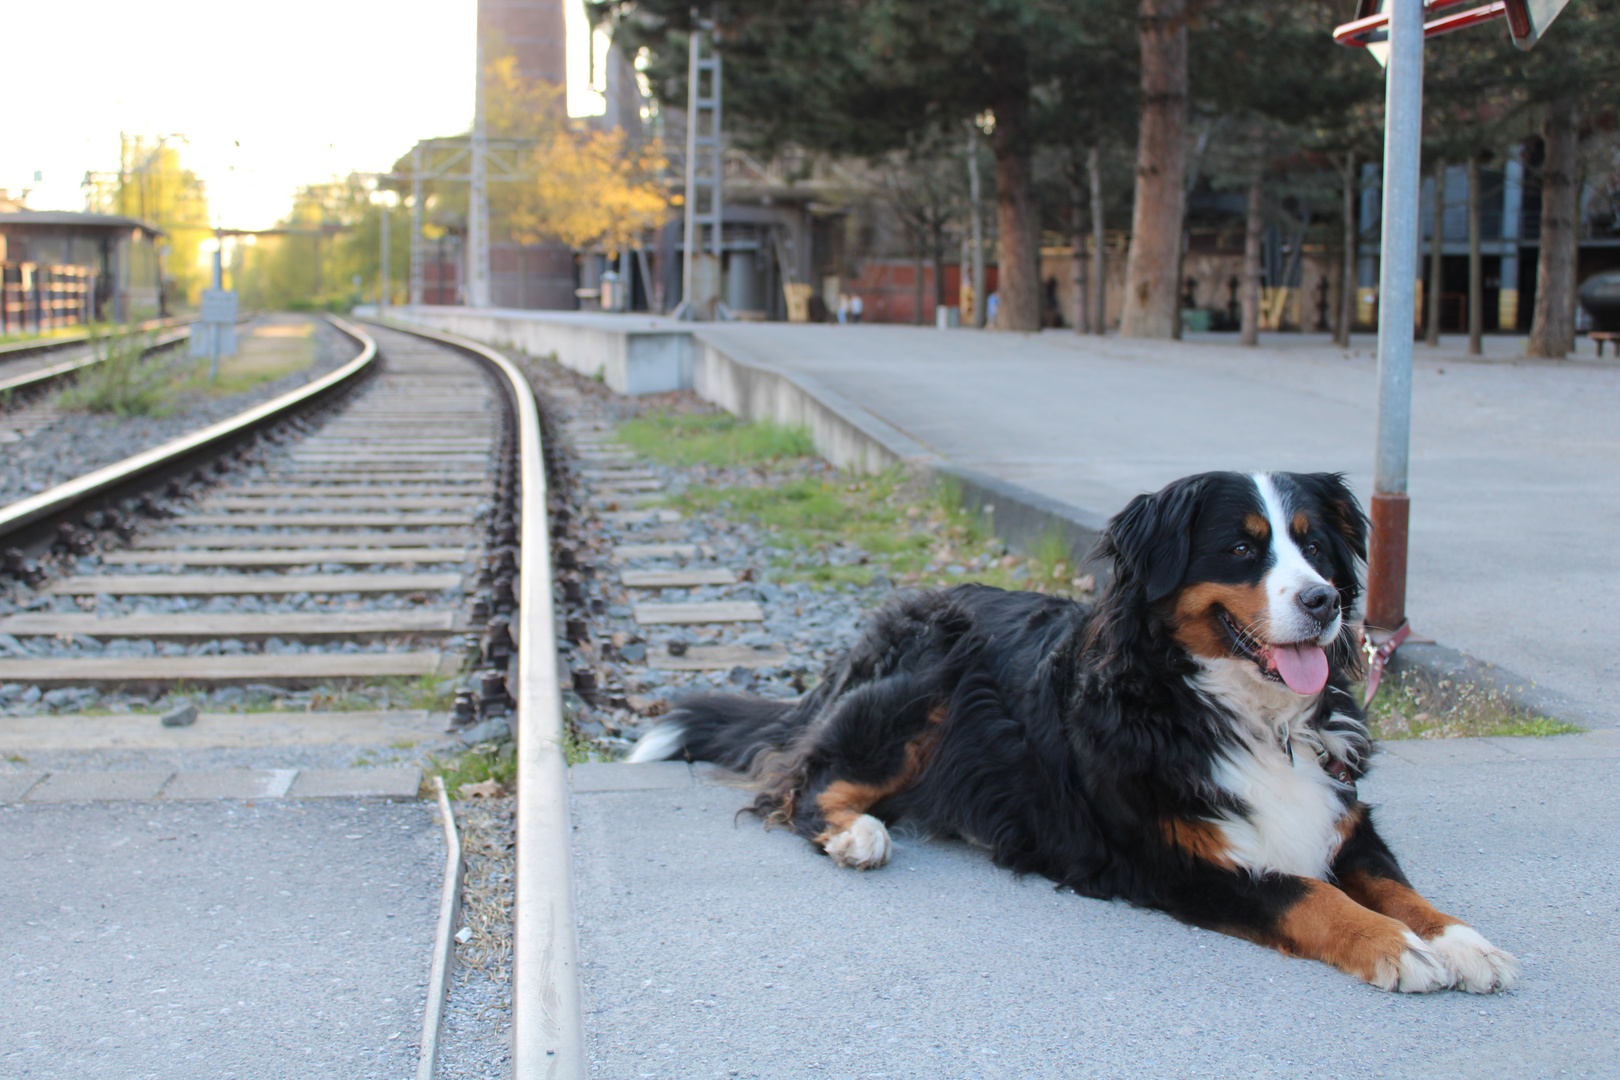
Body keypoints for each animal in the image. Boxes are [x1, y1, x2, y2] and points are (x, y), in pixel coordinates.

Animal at [628, 472, 1516, 997]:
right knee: (801, 785)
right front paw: (1396, 949)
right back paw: (859, 836)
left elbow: (1396, 885)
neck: (1237, 712)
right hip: (930, 689)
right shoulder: (1174, 860)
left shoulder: (1341, 813)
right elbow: (1311, 896)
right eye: (1242, 546)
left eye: (1314, 543)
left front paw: (1461, 940)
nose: (1325, 600)